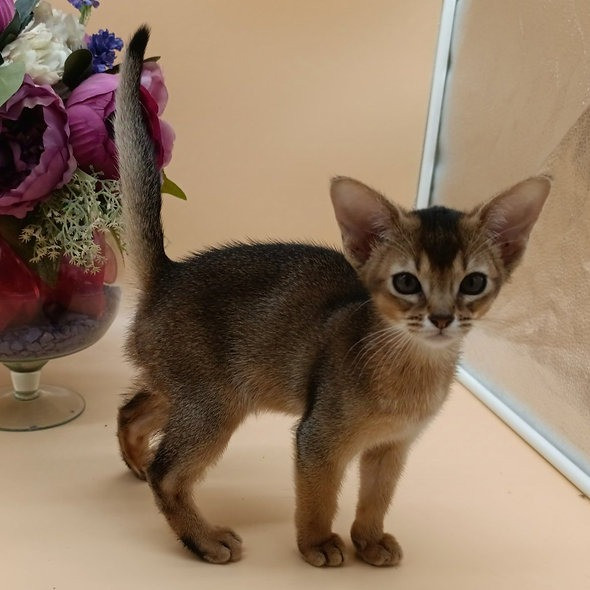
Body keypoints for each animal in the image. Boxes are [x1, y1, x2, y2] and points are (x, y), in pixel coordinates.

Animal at [117, 26, 556, 568]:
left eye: (473, 283)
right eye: (406, 282)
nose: (440, 317)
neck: (409, 369)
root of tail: (169, 273)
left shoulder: (392, 448)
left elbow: (376, 498)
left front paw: (369, 539)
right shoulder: (318, 439)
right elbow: (319, 496)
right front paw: (318, 544)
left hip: (190, 389)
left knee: (132, 408)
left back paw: (135, 460)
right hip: (214, 402)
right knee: (169, 473)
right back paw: (203, 537)